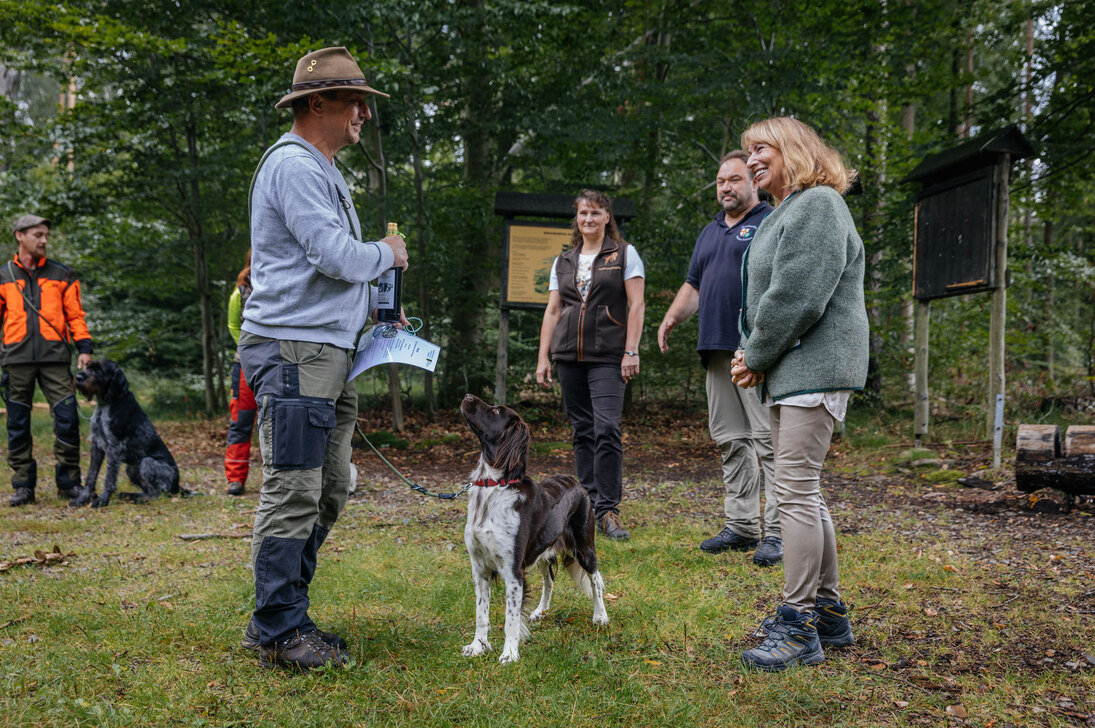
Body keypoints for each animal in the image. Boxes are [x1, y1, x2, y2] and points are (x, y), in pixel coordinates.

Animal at [68, 356, 181, 505]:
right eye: (88, 367)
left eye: (99, 369)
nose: (78, 377)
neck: (107, 403)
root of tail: (178, 487)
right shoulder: (96, 445)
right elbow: (91, 476)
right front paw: (83, 498)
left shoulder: (114, 448)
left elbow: (109, 479)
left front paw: (102, 500)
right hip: (132, 468)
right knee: (149, 491)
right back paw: (130, 495)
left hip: (147, 462)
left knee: (158, 495)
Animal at [459, 394, 613, 661]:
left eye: (496, 411)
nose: (468, 395)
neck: (493, 487)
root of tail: (577, 483)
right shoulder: (479, 568)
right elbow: (481, 614)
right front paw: (478, 645)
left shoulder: (513, 572)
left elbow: (510, 619)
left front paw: (509, 653)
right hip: (543, 550)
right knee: (549, 581)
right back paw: (541, 611)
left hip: (584, 546)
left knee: (595, 579)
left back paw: (600, 615)